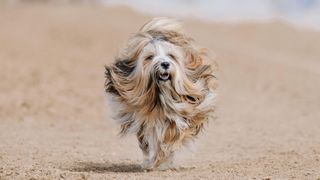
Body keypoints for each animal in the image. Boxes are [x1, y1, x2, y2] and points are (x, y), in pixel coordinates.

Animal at [105, 17, 218, 170]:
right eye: (150, 57)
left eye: (171, 56)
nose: (165, 64)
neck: (160, 97)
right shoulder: (143, 122)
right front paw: (154, 161)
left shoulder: (183, 115)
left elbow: (170, 137)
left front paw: (162, 159)